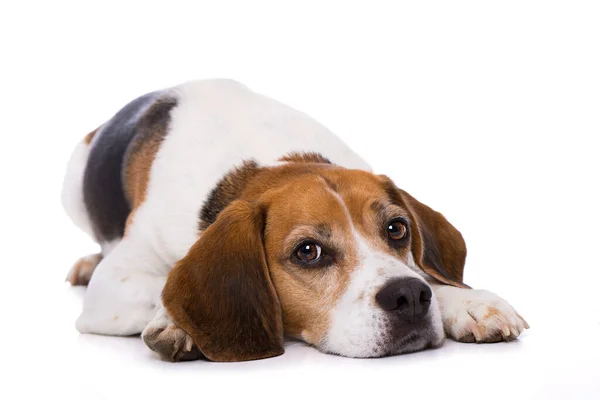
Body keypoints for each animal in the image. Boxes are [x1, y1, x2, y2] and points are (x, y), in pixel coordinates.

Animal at [63, 79, 528, 362]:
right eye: (308, 252)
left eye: (397, 229)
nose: (409, 297)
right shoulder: (115, 284)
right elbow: (160, 287)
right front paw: (175, 324)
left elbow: (427, 274)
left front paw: (468, 303)